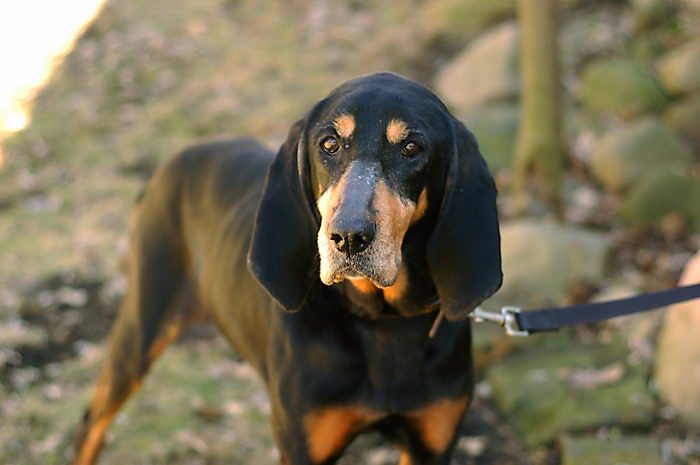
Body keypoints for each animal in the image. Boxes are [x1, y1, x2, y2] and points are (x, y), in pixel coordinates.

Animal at [72, 72, 504, 464]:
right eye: (329, 143)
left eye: (411, 148)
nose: (349, 236)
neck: (384, 322)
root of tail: (167, 166)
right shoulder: (301, 446)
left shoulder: (430, 447)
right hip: (140, 330)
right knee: (92, 421)